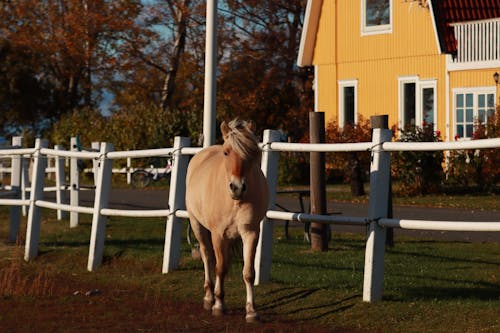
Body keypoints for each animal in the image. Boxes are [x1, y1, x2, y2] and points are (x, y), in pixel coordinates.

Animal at [185, 117, 270, 322]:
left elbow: (248, 272)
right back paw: (209, 297)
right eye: (226, 152)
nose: (237, 187)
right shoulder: (218, 235)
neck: (234, 201)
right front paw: (218, 304)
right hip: (197, 225)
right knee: (207, 256)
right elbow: (220, 268)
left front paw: (251, 310)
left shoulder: (251, 233)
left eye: (253, 153)